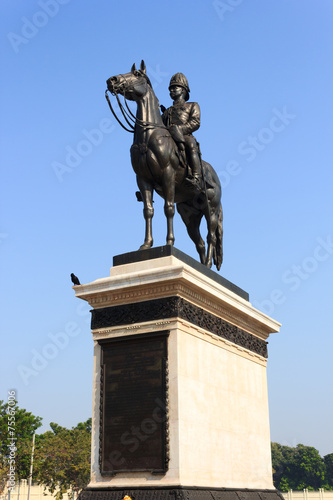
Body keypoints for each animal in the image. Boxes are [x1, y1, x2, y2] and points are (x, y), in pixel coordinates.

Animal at [105, 61, 222, 272]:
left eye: (136, 74)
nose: (112, 80)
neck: (148, 136)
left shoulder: (167, 176)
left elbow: (168, 208)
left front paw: (169, 243)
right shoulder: (143, 180)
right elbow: (148, 211)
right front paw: (146, 245)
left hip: (212, 210)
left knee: (210, 236)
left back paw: (208, 264)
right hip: (190, 215)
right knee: (199, 241)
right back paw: (202, 266)